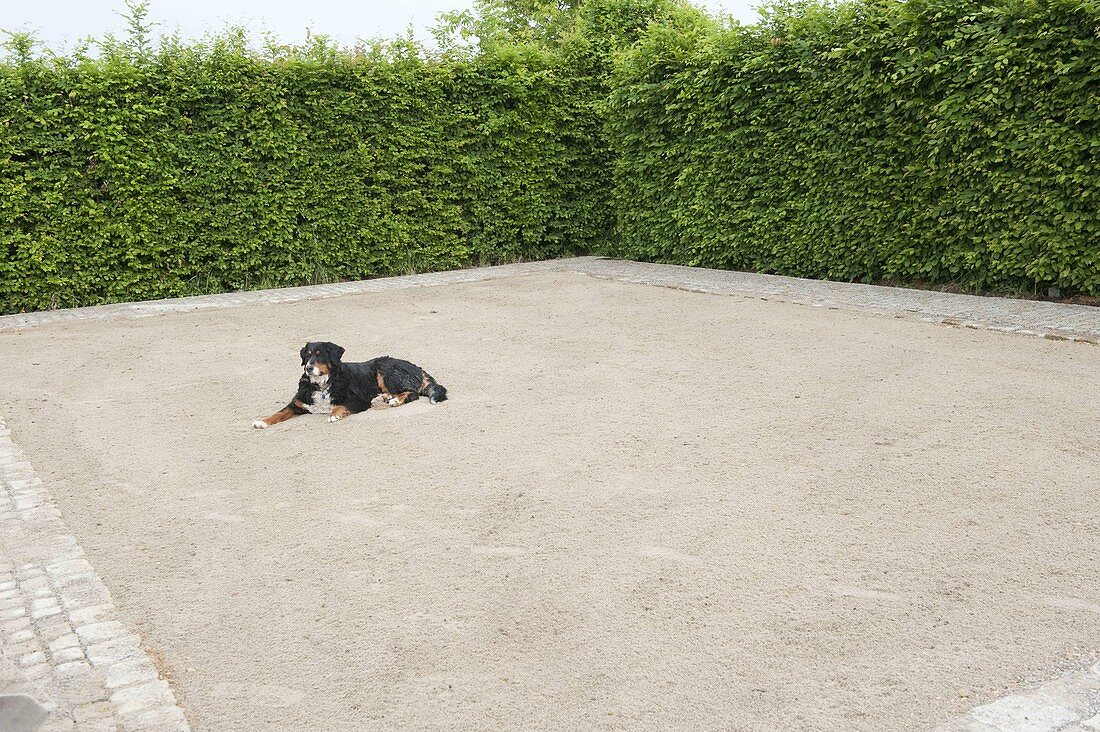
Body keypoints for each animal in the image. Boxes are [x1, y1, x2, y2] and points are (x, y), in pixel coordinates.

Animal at [251, 343, 446, 429]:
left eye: (320, 355)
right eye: (307, 355)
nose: (308, 368)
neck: (323, 385)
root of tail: (417, 367)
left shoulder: (358, 401)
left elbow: (339, 406)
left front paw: (333, 415)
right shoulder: (297, 404)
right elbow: (279, 413)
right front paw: (263, 421)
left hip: (384, 368)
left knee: (412, 393)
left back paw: (394, 400)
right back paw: (386, 397)